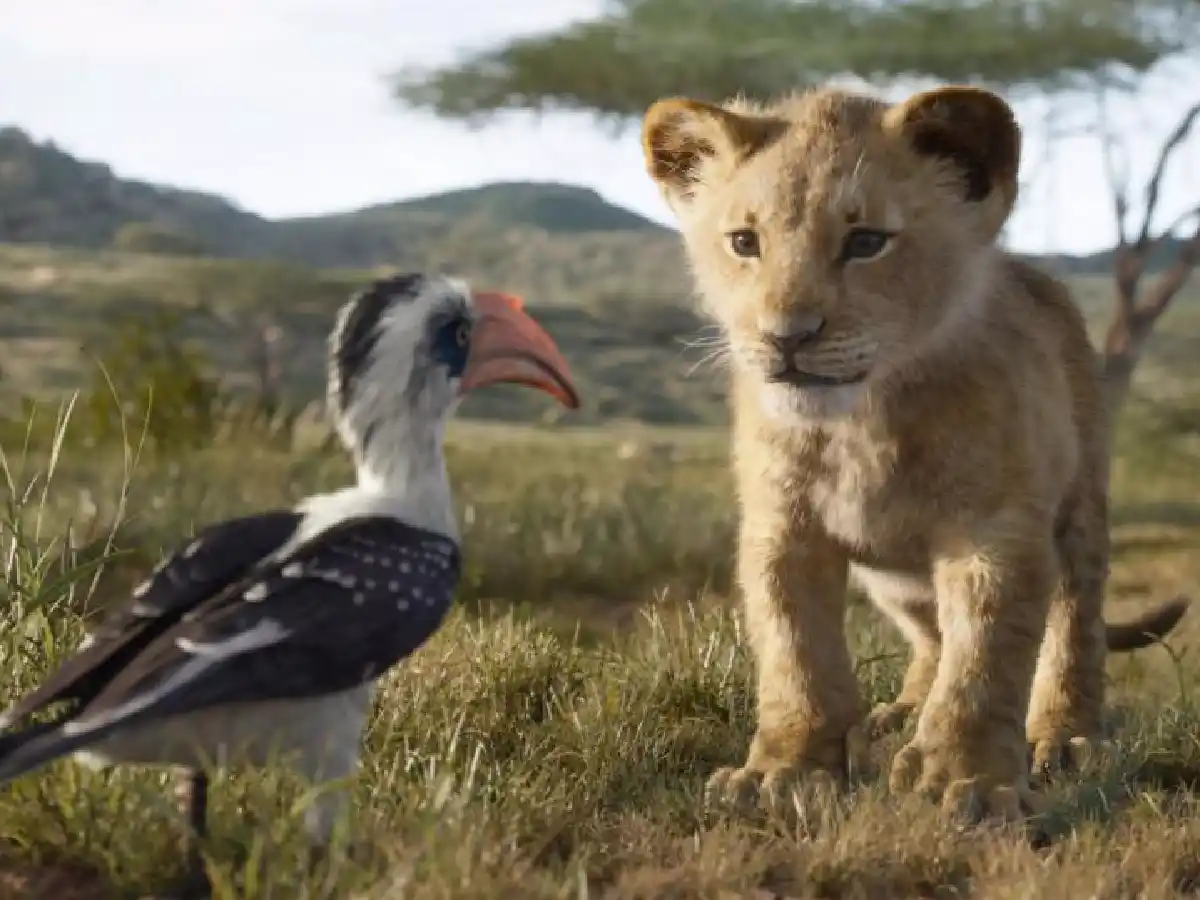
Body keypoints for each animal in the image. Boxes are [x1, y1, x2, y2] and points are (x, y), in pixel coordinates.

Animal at [639, 84, 1189, 820]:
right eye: (744, 243)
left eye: (866, 242)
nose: (786, 337)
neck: (862, 422)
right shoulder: (783, 528)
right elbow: (795, 652)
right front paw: (783, 772)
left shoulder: (995, 531)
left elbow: (985, 658)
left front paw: (969, 782)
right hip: (893, 578)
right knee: (930, 635)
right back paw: (898, 714)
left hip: (1081, 508)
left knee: (1075, 625)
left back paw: (1064, 738)